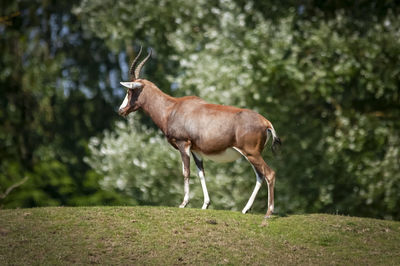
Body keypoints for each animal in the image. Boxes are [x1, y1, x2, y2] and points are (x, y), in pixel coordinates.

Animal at [119, 47, 282, 218]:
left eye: (129, 91)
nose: (120, 110)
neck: (172, 108)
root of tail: (266, 122)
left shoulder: (183, 144)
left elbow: (186, 172)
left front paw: (183, 204)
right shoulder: (196, 150)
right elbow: (201, 173)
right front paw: (205, 205)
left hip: (251, 153)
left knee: (269, 174)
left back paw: (269, 212)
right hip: (251, 155)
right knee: (260, 176)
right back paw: (245, 209)